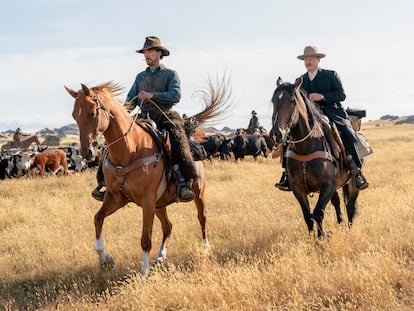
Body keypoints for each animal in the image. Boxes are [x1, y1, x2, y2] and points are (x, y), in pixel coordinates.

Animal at [66, 78, 231, 276]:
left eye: (92, 113)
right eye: (75, 115)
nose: (86, 152)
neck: (130, 150)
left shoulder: (147, 200)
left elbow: (145, 238)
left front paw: (144, 271)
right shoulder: (116, 197)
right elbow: (98, 219)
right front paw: (105, 259)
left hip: (198, 193)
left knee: (202, 217)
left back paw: (205, 248)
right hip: (160, 204)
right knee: (168, 226)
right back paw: (160, 257)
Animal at [270, 78, 360, 239]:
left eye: (292, 100)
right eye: (273, 100)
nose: (276, 134)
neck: (306, 147)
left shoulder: (327, 186)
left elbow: (318, 214)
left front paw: (322, 237)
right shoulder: (298, 189)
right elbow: (308, 216)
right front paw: (313, 238)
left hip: (352, 184)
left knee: (350, 204)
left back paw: (350, 228)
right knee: (337, 201)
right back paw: (340, 223)